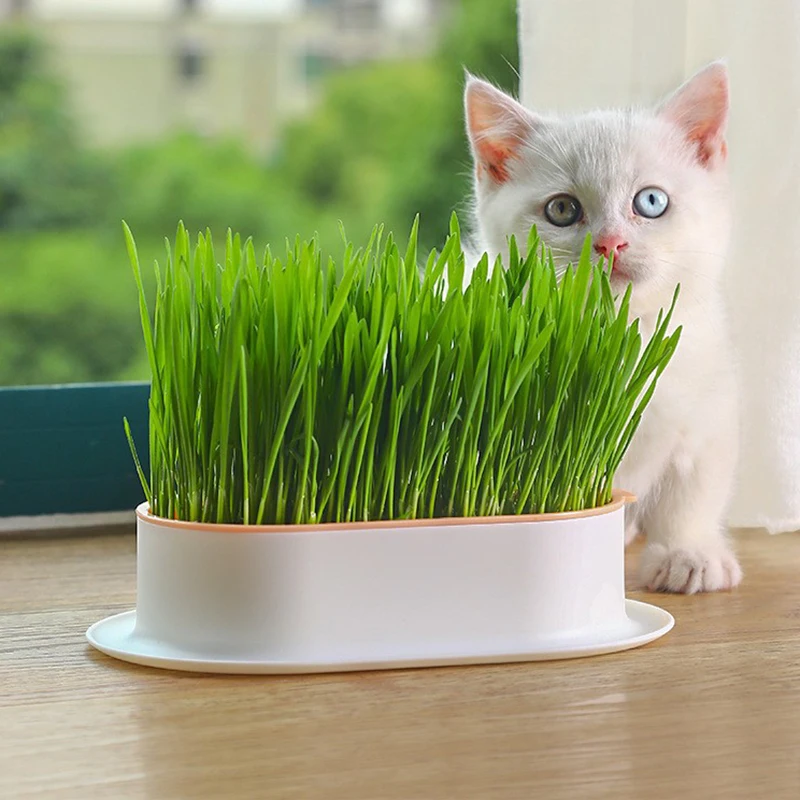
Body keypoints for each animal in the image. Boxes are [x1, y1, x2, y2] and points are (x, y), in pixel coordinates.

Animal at [462, 62, 744, 592]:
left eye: (651, 201)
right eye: (562, 209)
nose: (610, 243)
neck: (620, 338)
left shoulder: (705, 411)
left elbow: (692, 491)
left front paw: (689, 552)